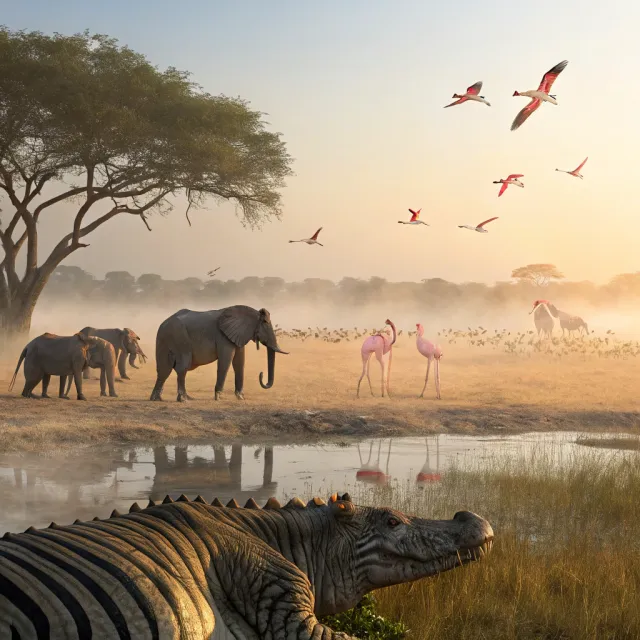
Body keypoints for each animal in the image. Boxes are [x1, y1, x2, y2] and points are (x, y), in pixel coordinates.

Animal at [149, 305, 288, 402]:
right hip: (179, 337)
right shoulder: (223, 336)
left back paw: (158, 399)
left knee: (164, 370)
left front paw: (241, 397)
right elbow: (226, 360)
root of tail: (163, 324)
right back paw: (183, 400)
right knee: (181, 368)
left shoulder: (237, 334)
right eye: (265, 323)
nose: (261, 374)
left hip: (164, 339)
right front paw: (219, 397)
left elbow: (239, 362)